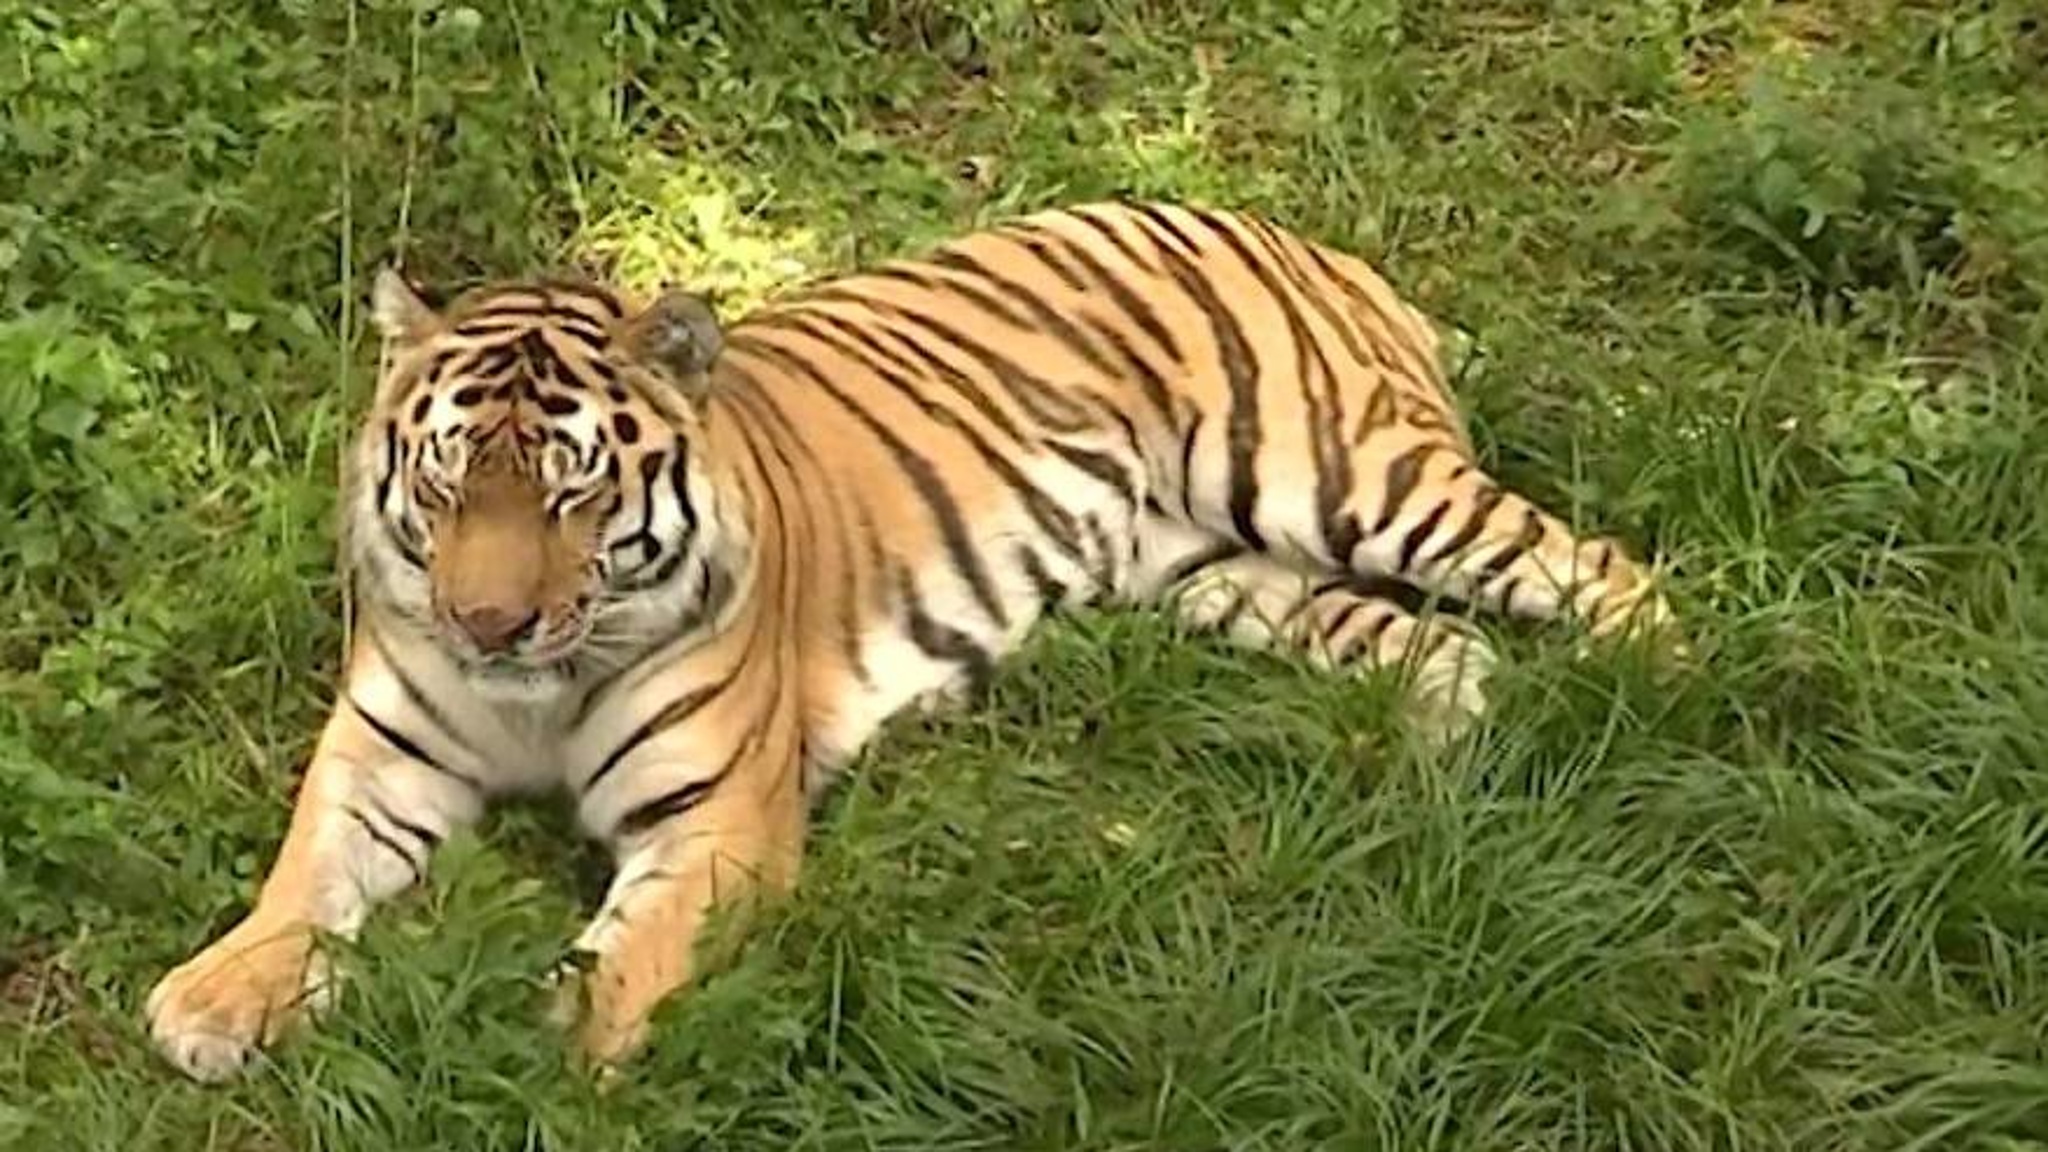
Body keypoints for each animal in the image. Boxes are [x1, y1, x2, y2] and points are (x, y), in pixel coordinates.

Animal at [145, 200, 1682, 1081]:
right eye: (453, 482)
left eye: (572, 491)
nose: (488, 621)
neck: (535, 692)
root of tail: (1300, 236)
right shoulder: (380, 753)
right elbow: (303, 880)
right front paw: (216, 998)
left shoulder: (718, 821)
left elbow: (623, 961)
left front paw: (553, 1058)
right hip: (1217, 568)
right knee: (1426, 639)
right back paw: (1444, 727)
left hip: (1342, 477)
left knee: (1606, 573)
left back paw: (1673, 694)